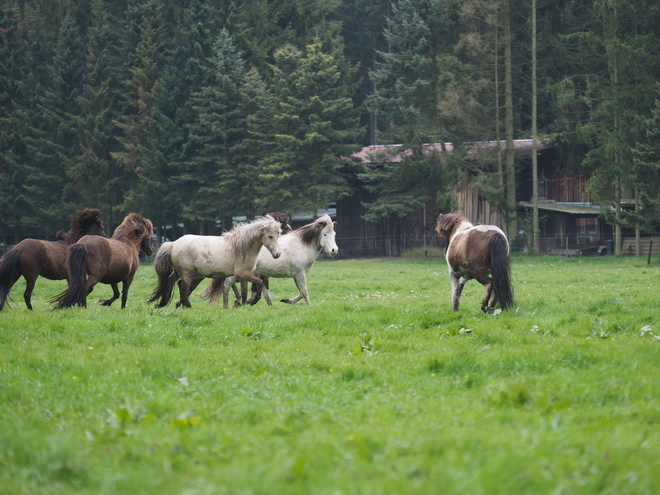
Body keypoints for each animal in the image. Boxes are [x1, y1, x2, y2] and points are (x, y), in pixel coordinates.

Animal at [147, 215, 282, 308]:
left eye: (279, 235)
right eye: (270, 236)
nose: (277, 254)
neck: (242, 247)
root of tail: (173, 243)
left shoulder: (244, 275)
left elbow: (244, 292)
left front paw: (243, 305)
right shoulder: (242, 274)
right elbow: (259, 283)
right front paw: (253, 301)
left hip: (177, 273)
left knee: (171, 285)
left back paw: (167, 304)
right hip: (187, 274)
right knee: (183, 288)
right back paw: (187, 306)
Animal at [199, 215, 338, 308]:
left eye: (334, 234)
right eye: (325, 234)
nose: (334, 250)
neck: (301, 246)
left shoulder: (296, 275)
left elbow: (300, 292)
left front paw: (287, 300)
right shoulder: (299, 274)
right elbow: (304, 292)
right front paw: (309, 306)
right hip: (236, 274)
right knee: (227, 285)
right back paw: (229, 305)